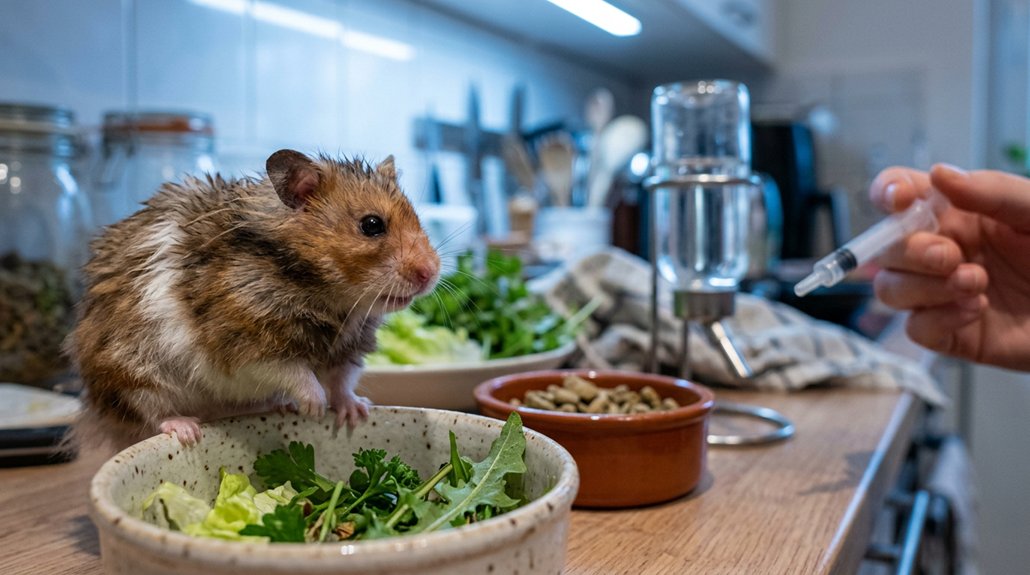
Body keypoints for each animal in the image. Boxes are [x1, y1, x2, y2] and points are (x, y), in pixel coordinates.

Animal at [67, 149, 440, 448]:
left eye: (417, 217)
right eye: (372, 224)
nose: (432, 273)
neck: (331, 299)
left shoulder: (348, 349)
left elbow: (342, 381)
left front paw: (355, 412)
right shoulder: (245, 343)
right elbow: (294, 372)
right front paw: (314, 408)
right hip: (132, 374)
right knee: (150, 410)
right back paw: (187, 429)